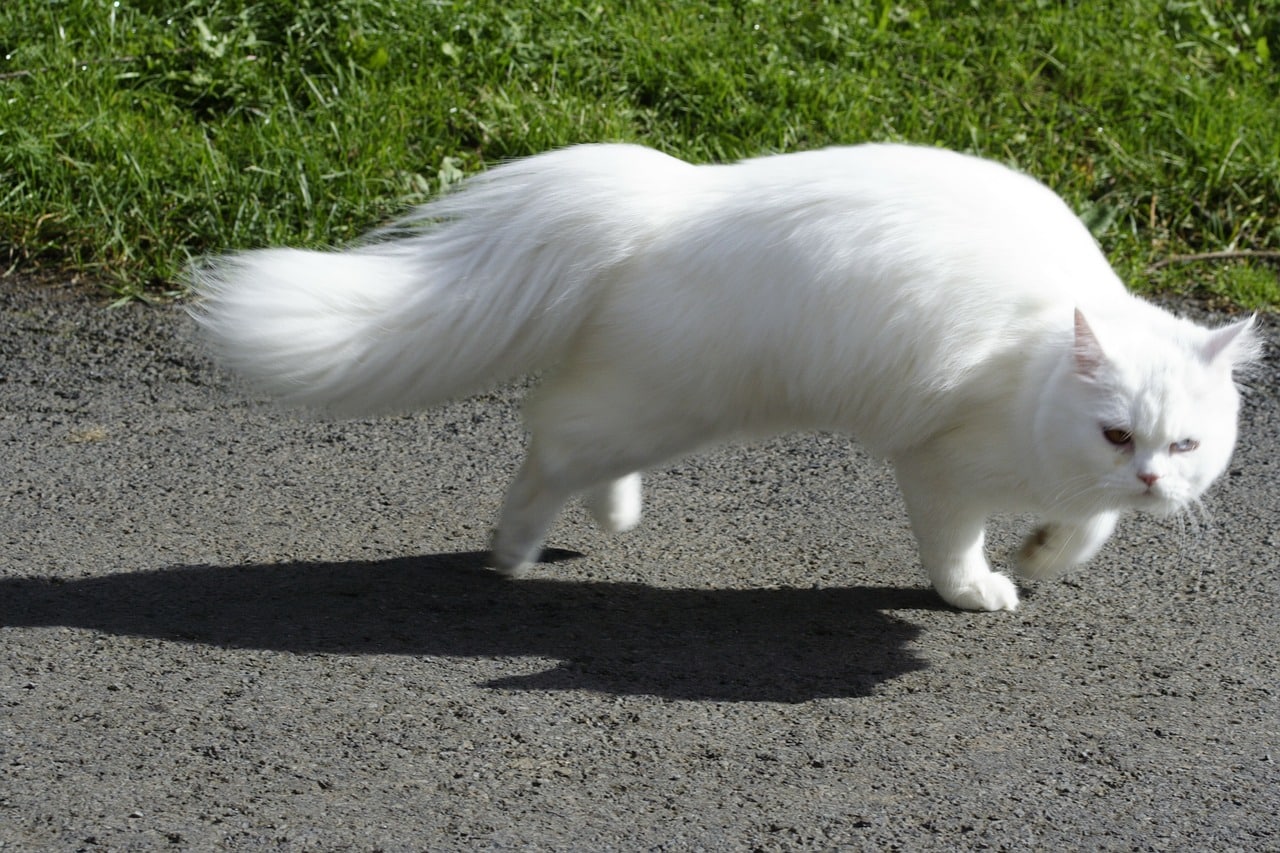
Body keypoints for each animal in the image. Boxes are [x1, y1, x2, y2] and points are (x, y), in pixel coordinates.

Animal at [192, 146, 1259, 612]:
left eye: (1183, 444)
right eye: (1117, 431)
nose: (1149, 475)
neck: (1034, 358)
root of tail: (670, 193)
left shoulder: (1083, 490)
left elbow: (1087, 531)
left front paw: (1043, 553)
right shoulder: (941, 465)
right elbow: (957, 549)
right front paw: (982, 589)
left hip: (656, 399)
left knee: (572, 443)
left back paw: (606, 520)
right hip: (667, 403)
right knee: (546, 446)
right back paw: (513, 554)